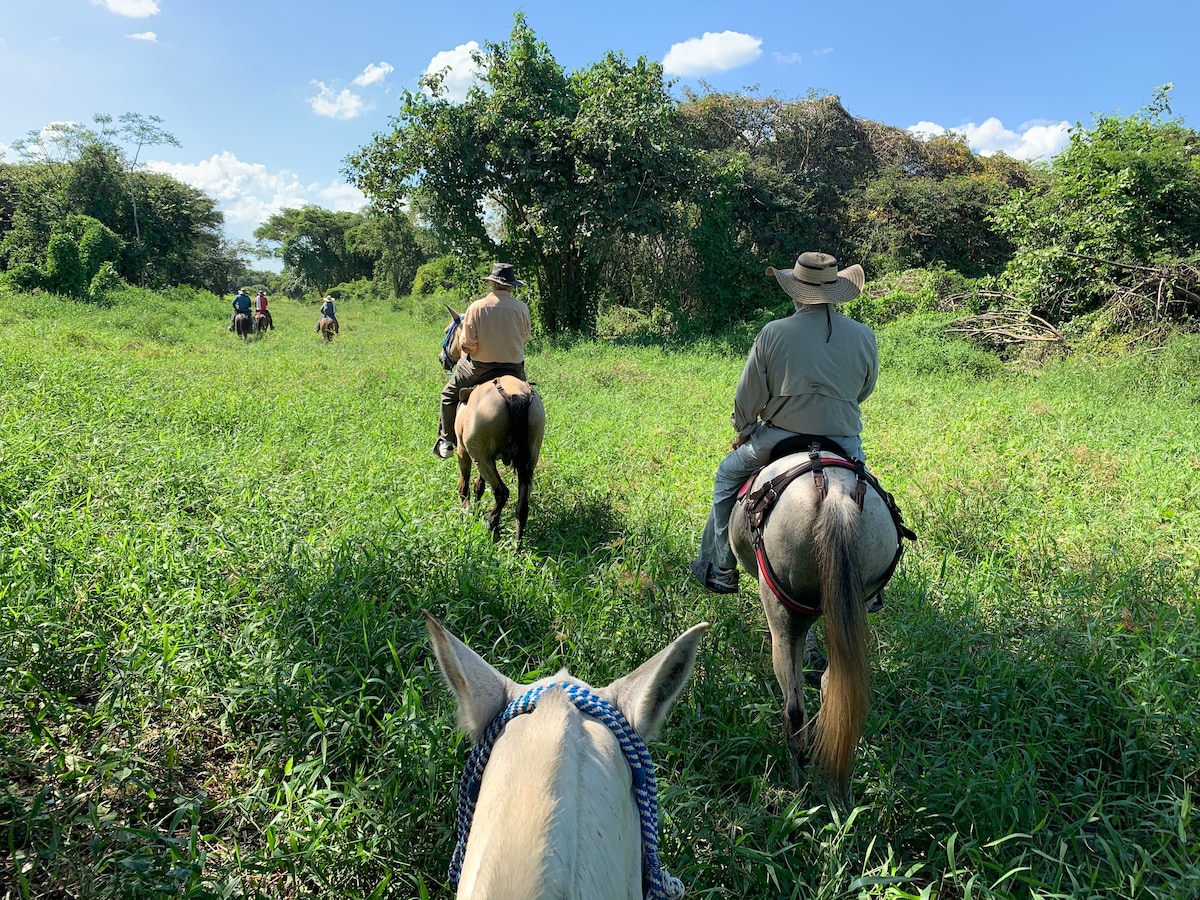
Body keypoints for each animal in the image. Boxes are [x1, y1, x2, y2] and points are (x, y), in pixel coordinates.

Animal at [444, 307, 547, 547]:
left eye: (447, 331)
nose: (442, 359)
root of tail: (516, 394)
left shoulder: (464, 451)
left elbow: (465, 485)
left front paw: (468, 512)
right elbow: (479, 486)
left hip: (482, 458)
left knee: (502, 492)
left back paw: (493, 527)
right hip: (529, 456)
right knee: (522, 500)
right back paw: (516, 544)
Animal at [724, 441, 912, 806]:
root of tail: (835, 493)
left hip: (781, 609)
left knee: (794, 710)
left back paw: (799, 790)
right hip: (857, 597)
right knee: (834, 687)